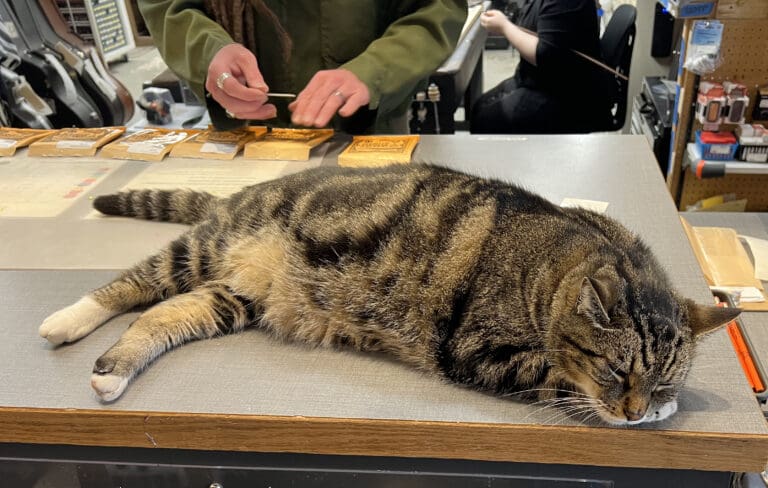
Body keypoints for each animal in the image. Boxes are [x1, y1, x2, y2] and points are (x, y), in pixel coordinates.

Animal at [39, 166, 736, 426]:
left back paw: (110, 372)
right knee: (135, 283)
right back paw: (67, 320)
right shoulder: (479, 349)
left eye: (661, 379)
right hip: (205, 249)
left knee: (166, 311)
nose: (636, 412)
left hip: (236, 296)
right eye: (618, 372)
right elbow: (557, 377)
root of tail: (242, 190)